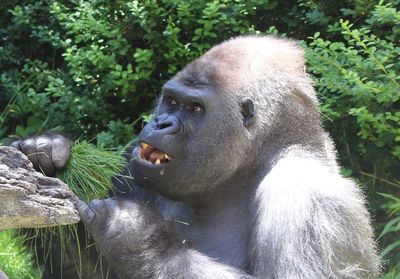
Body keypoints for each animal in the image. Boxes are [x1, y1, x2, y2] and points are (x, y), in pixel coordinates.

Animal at [13, 36, 382, 278]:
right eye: (171, 101)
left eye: (194, 109)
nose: (160, 123)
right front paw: (48, 153)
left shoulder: (305, 196)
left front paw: (135, 235)